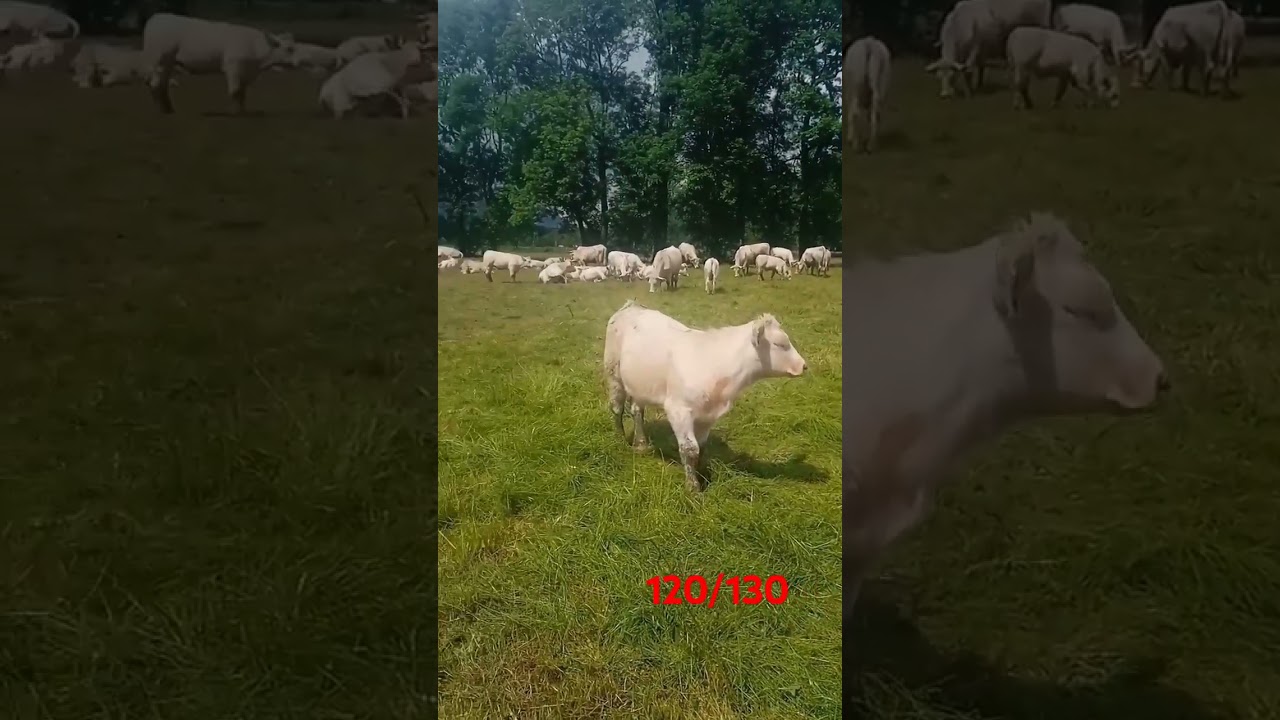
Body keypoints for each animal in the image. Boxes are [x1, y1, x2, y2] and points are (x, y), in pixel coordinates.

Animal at [142, 13, 296, 115]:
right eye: (289, 48)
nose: (297, 62)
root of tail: (157, 17)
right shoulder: (233, 67)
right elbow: (235, 91)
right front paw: (235, 113)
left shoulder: (246, 73)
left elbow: (242, 92)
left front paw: (242, 110)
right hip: (157, 61)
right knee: (155, 83)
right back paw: (162, 111)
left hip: (168, 63)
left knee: (162, 85)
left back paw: (169, 110)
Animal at [603, 300, 808, 491]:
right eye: (780, 344)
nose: (804, 366)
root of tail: (632, 305)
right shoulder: (678, 409)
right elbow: (689, 448)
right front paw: (693, 487)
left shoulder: (708, 415)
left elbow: (700, 447)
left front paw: (703, 476)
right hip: (613, 373)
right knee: (617, 408)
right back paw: (621, 440)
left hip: (639, 385)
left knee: (637, 410)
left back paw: (641, 444)